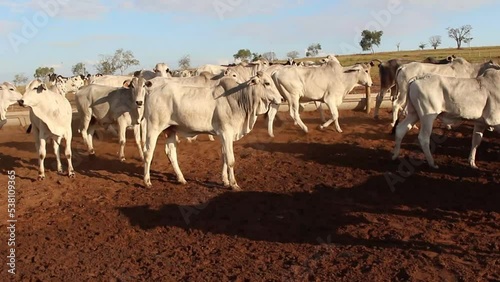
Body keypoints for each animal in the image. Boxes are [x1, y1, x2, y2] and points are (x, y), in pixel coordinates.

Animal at [142, 71, 282, 189]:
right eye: (267, 83)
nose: (281, 99)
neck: (237, 99)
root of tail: (151, 88)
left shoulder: (224, 135)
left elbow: (224, 157)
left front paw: (225, 181)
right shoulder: (226, 132)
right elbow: (230, 160)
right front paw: (234, 184)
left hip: (171, 129)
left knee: (171, 153)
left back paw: (181, 179)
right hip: (153, 127)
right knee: (148, 153)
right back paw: (147, 181)